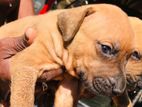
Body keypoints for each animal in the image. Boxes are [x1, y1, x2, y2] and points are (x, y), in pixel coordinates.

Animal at [0, 4, 134, 107]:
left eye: (128, 57)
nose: (118, 91)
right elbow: (23, 98)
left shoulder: (68, 86)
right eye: (106, 48)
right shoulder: (25, 64)